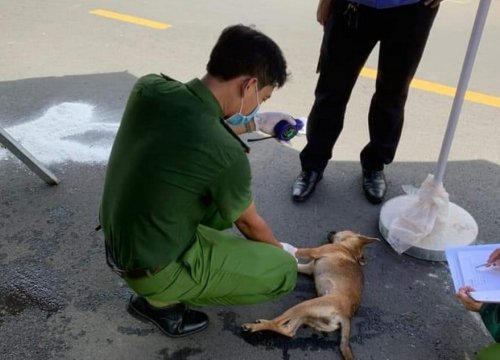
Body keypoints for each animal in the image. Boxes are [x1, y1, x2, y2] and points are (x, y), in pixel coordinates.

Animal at [242, 231, 378, 360]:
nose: (331, 231)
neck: (348, 249)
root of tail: (347, 315)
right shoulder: (308, 268)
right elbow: (295, 263)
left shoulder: (312, 251)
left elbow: (296, 251)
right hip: (308, 313)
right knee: (289, 330)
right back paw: (265, 323)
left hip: (306, 305)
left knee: (278, 322)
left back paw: (254, 327)